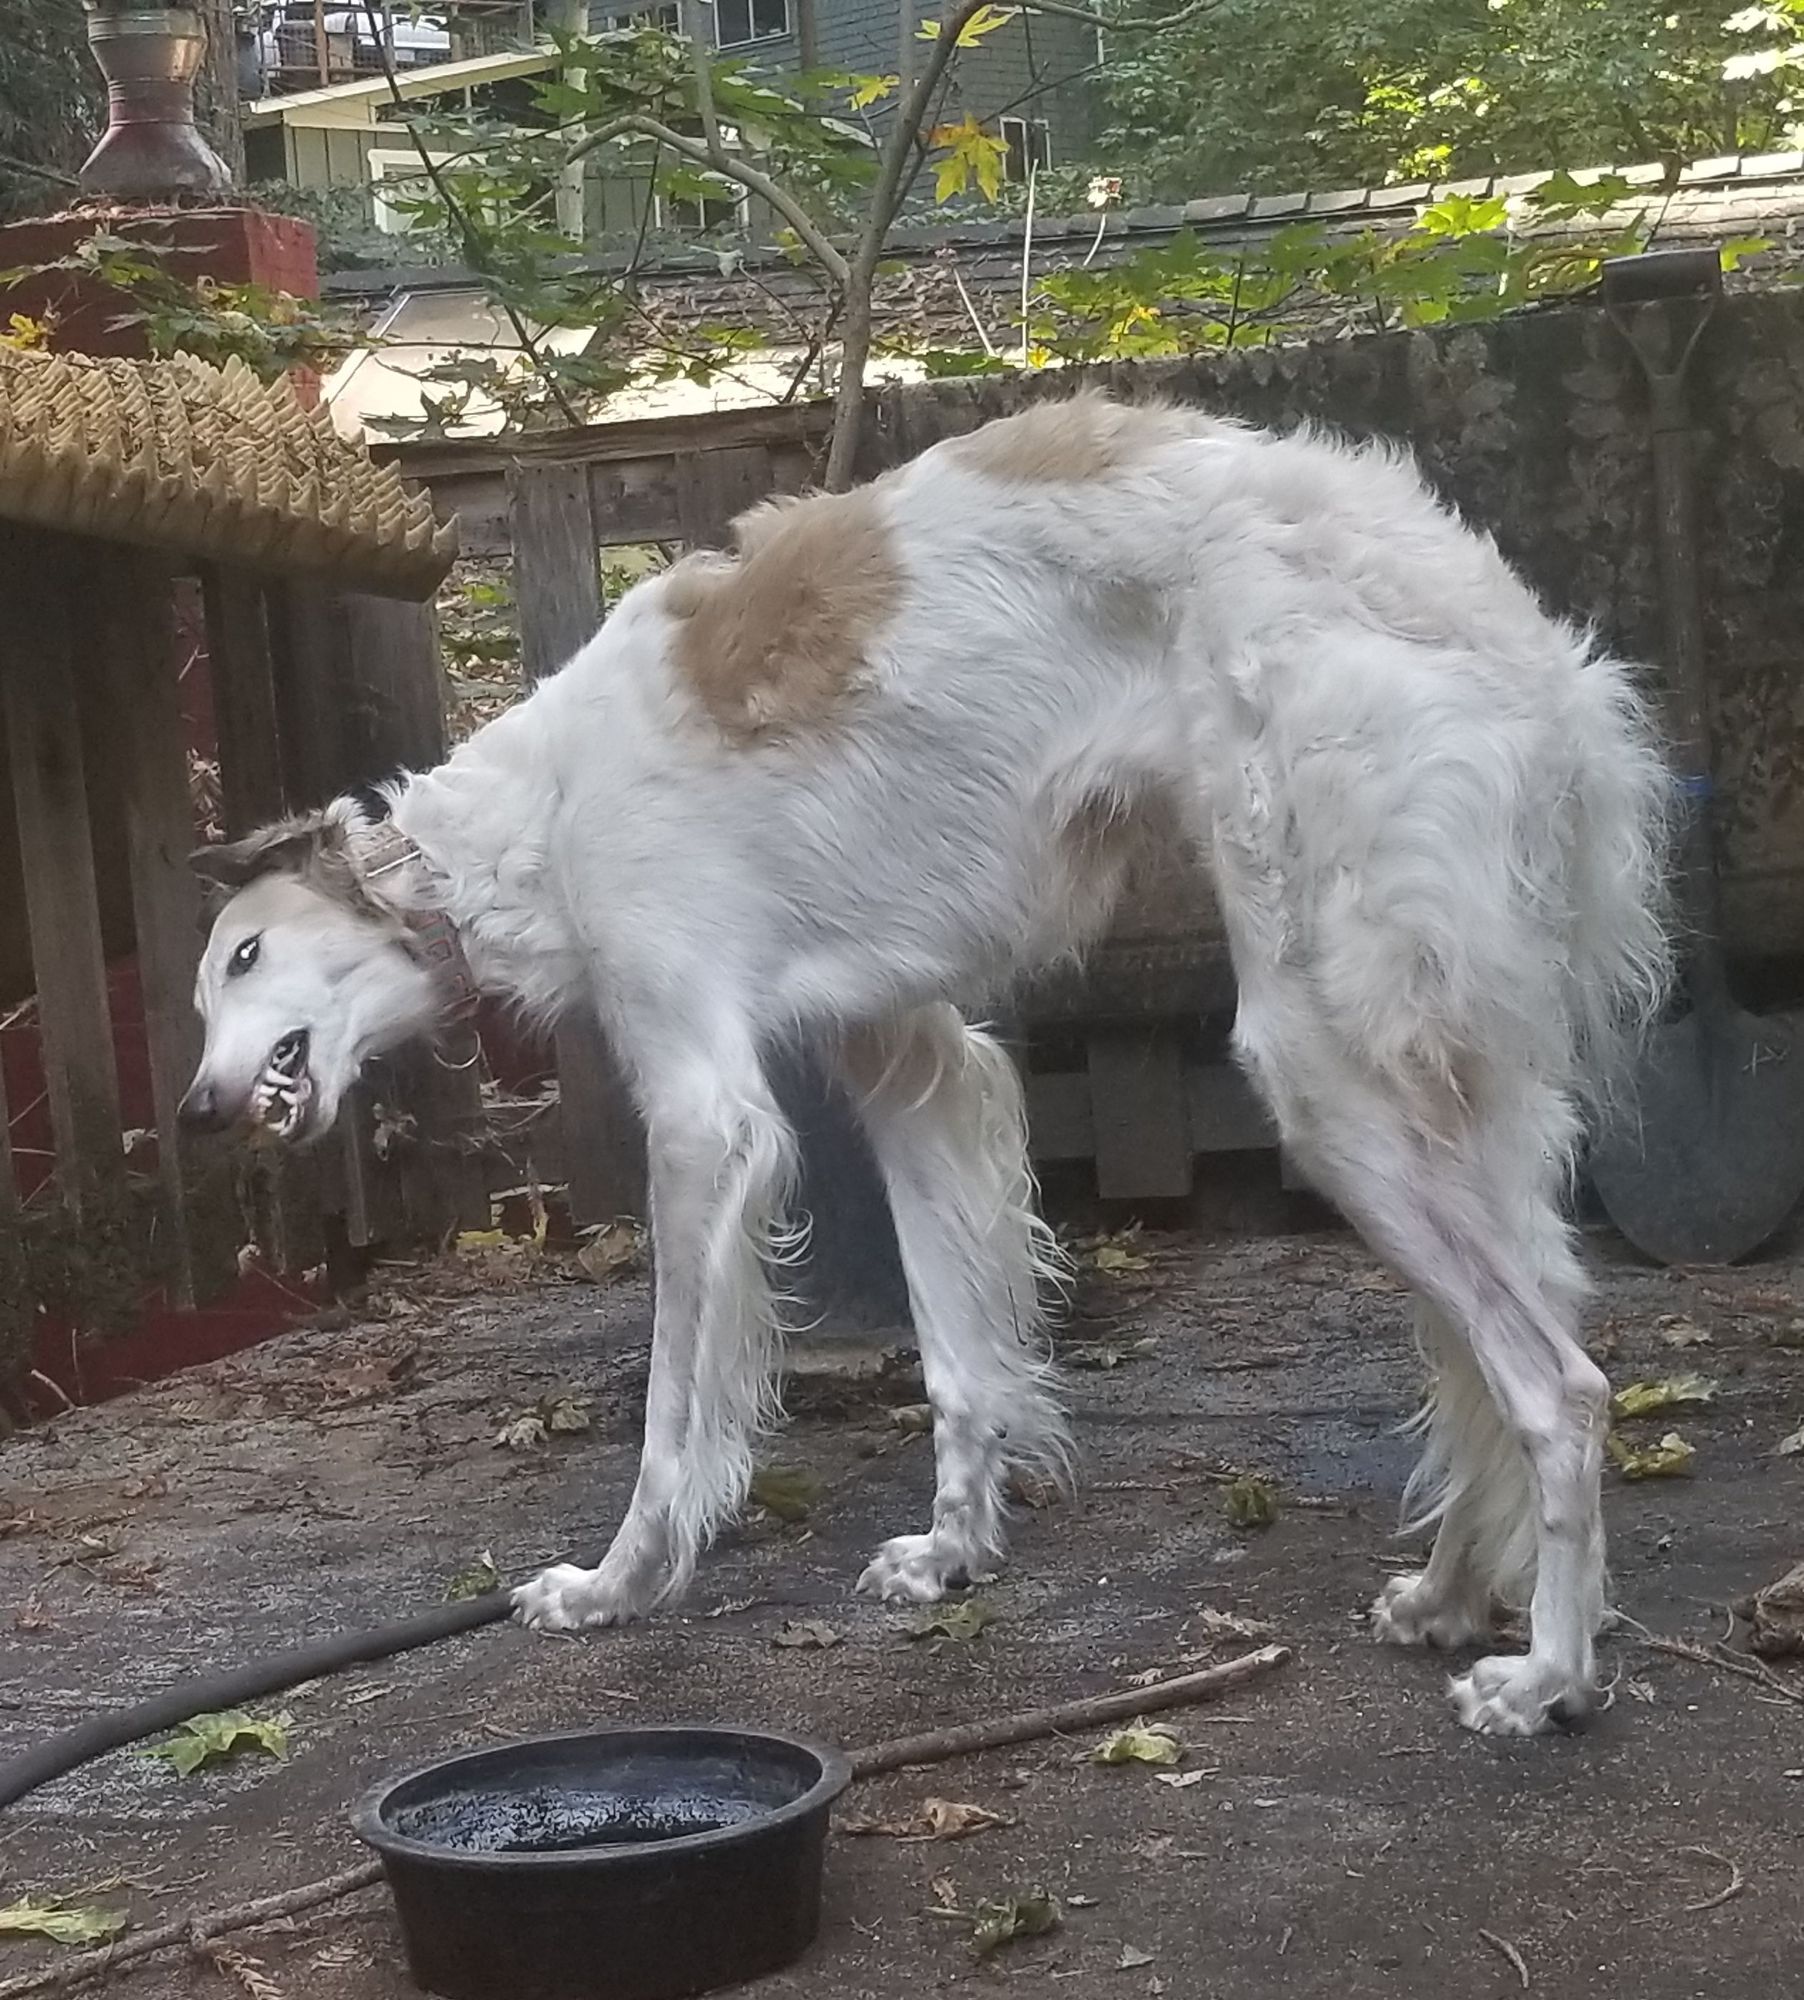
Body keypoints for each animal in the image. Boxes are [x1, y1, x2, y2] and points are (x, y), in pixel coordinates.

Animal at [184, 394, 1680, 1736]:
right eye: (209, 988)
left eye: (244, 956)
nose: (197, 1110)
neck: (523, 824)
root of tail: (1524, 638)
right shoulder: (914, 1061)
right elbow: (957, 1351)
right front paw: (955, 1549)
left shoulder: (704, 1108)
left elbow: (676, 1411)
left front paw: (622, 1583)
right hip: (1439, 1070)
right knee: (1498, 1339)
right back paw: (1451, 1594)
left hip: (1325, 1056)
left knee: (1557, 1386)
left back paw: (1548, 1676)